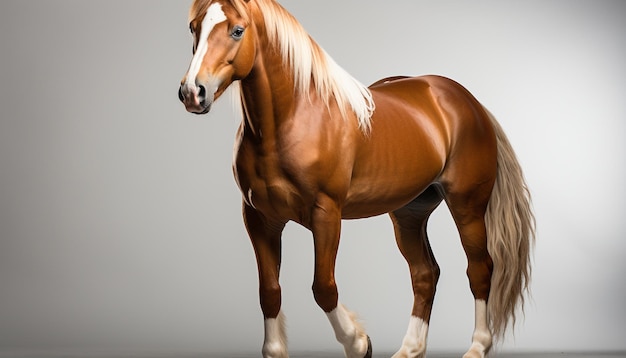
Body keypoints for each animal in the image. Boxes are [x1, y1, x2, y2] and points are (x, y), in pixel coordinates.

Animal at [176, 1, 532, 356]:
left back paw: (477, 346)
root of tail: (469, 102)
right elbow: (269, 291)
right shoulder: (259, 218)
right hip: (409, 213)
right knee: (425, 274)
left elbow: (323, 287)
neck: (293, 120)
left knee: (480, 269)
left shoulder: (326, 215)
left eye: (237, 30)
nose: (193, 92)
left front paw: (358, 342)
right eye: (194, 27)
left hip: (467, 207)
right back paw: (410, 348)